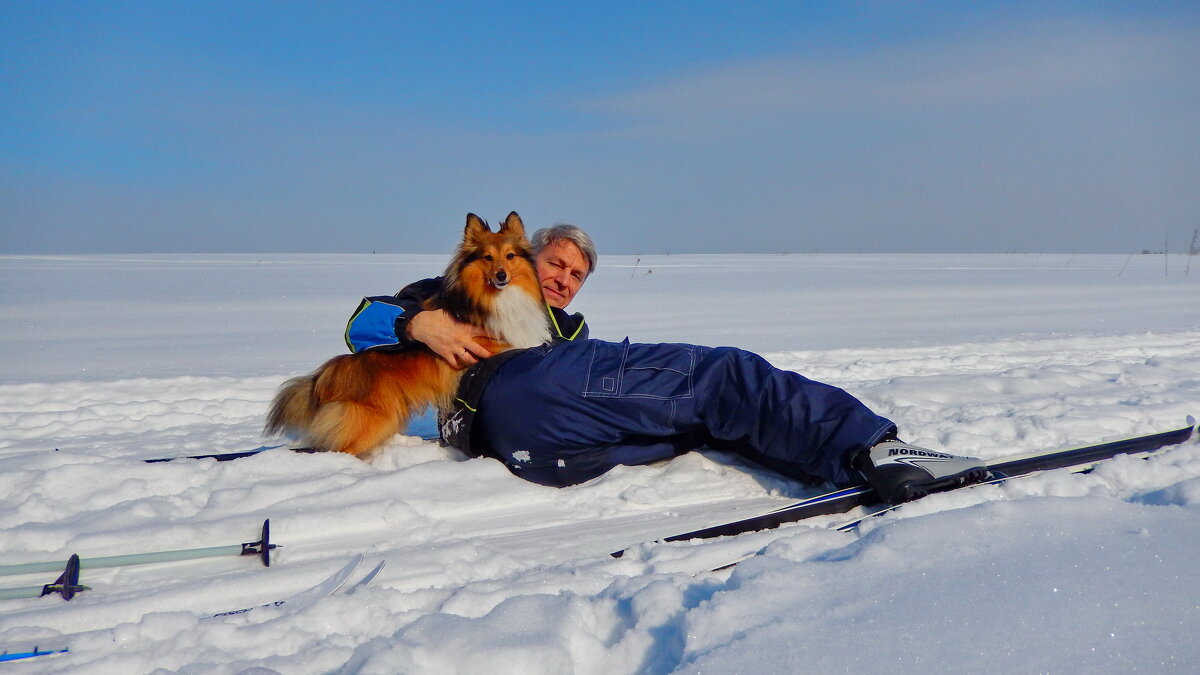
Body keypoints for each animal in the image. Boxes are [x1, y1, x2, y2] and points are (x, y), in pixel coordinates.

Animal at [265, 208, 549, 451]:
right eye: (487, 257)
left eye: (510, 256)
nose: (501, 276)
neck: (497, 298)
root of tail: (333, 372)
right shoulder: (481, 343)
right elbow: (519, 343)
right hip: (374, 419)